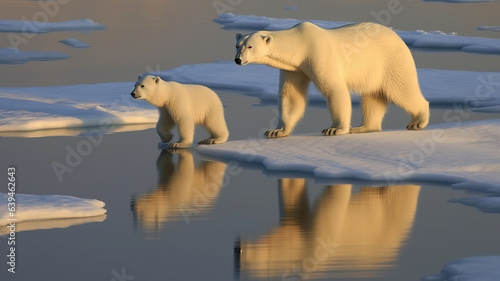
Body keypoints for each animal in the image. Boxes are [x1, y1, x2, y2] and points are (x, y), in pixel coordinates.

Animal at [234, 21, 430, 137]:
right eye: (237, 45)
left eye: (250, 46)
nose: (238, 60)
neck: (300, 44)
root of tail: (398, 38)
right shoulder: (296, 68)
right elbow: (291, 97)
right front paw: (276, 131)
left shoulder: (318, 55)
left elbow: (334, 90)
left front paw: (334, 129)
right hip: (374, 70)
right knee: (372, 96)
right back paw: (363, 128)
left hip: (391, 61)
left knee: (402, 89)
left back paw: (417, 122)